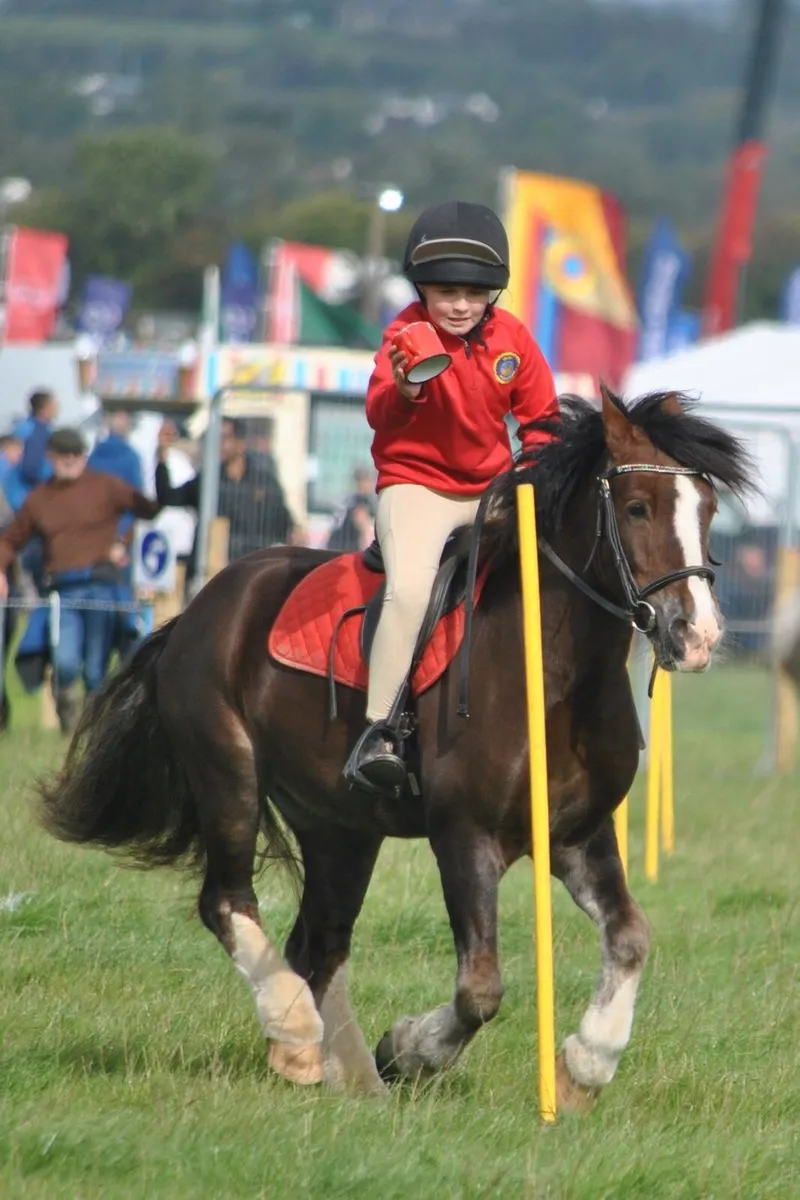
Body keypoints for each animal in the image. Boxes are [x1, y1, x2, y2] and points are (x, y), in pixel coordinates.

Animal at [39, 386, 753, 1107]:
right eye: (637, 508)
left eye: (708, 509)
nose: (696, 635)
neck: (553, 676)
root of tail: (204, 604)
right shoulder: (465, 836)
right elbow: (480, 990)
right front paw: (409, 1050)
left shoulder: (578, 835)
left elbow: (630, 939)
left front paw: (583, 1067)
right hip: (228, 778)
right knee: (229, 903)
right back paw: (297, 1036)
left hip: (340, 827)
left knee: (319, 942)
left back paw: (349, 1077)